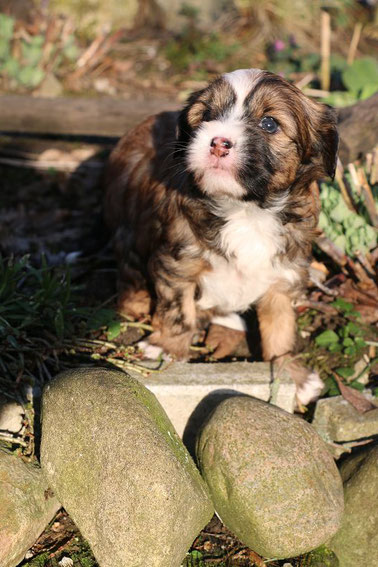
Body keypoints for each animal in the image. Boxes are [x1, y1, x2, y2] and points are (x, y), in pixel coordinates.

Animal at [105, 69, 338, 404]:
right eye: (207, 116)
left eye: (269, 123)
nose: (218, 142)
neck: (246, 211)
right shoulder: (176, 263)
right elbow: (178, 309)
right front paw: (167, 347)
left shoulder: (284, 274)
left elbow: (281, 328)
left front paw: (290, 372)